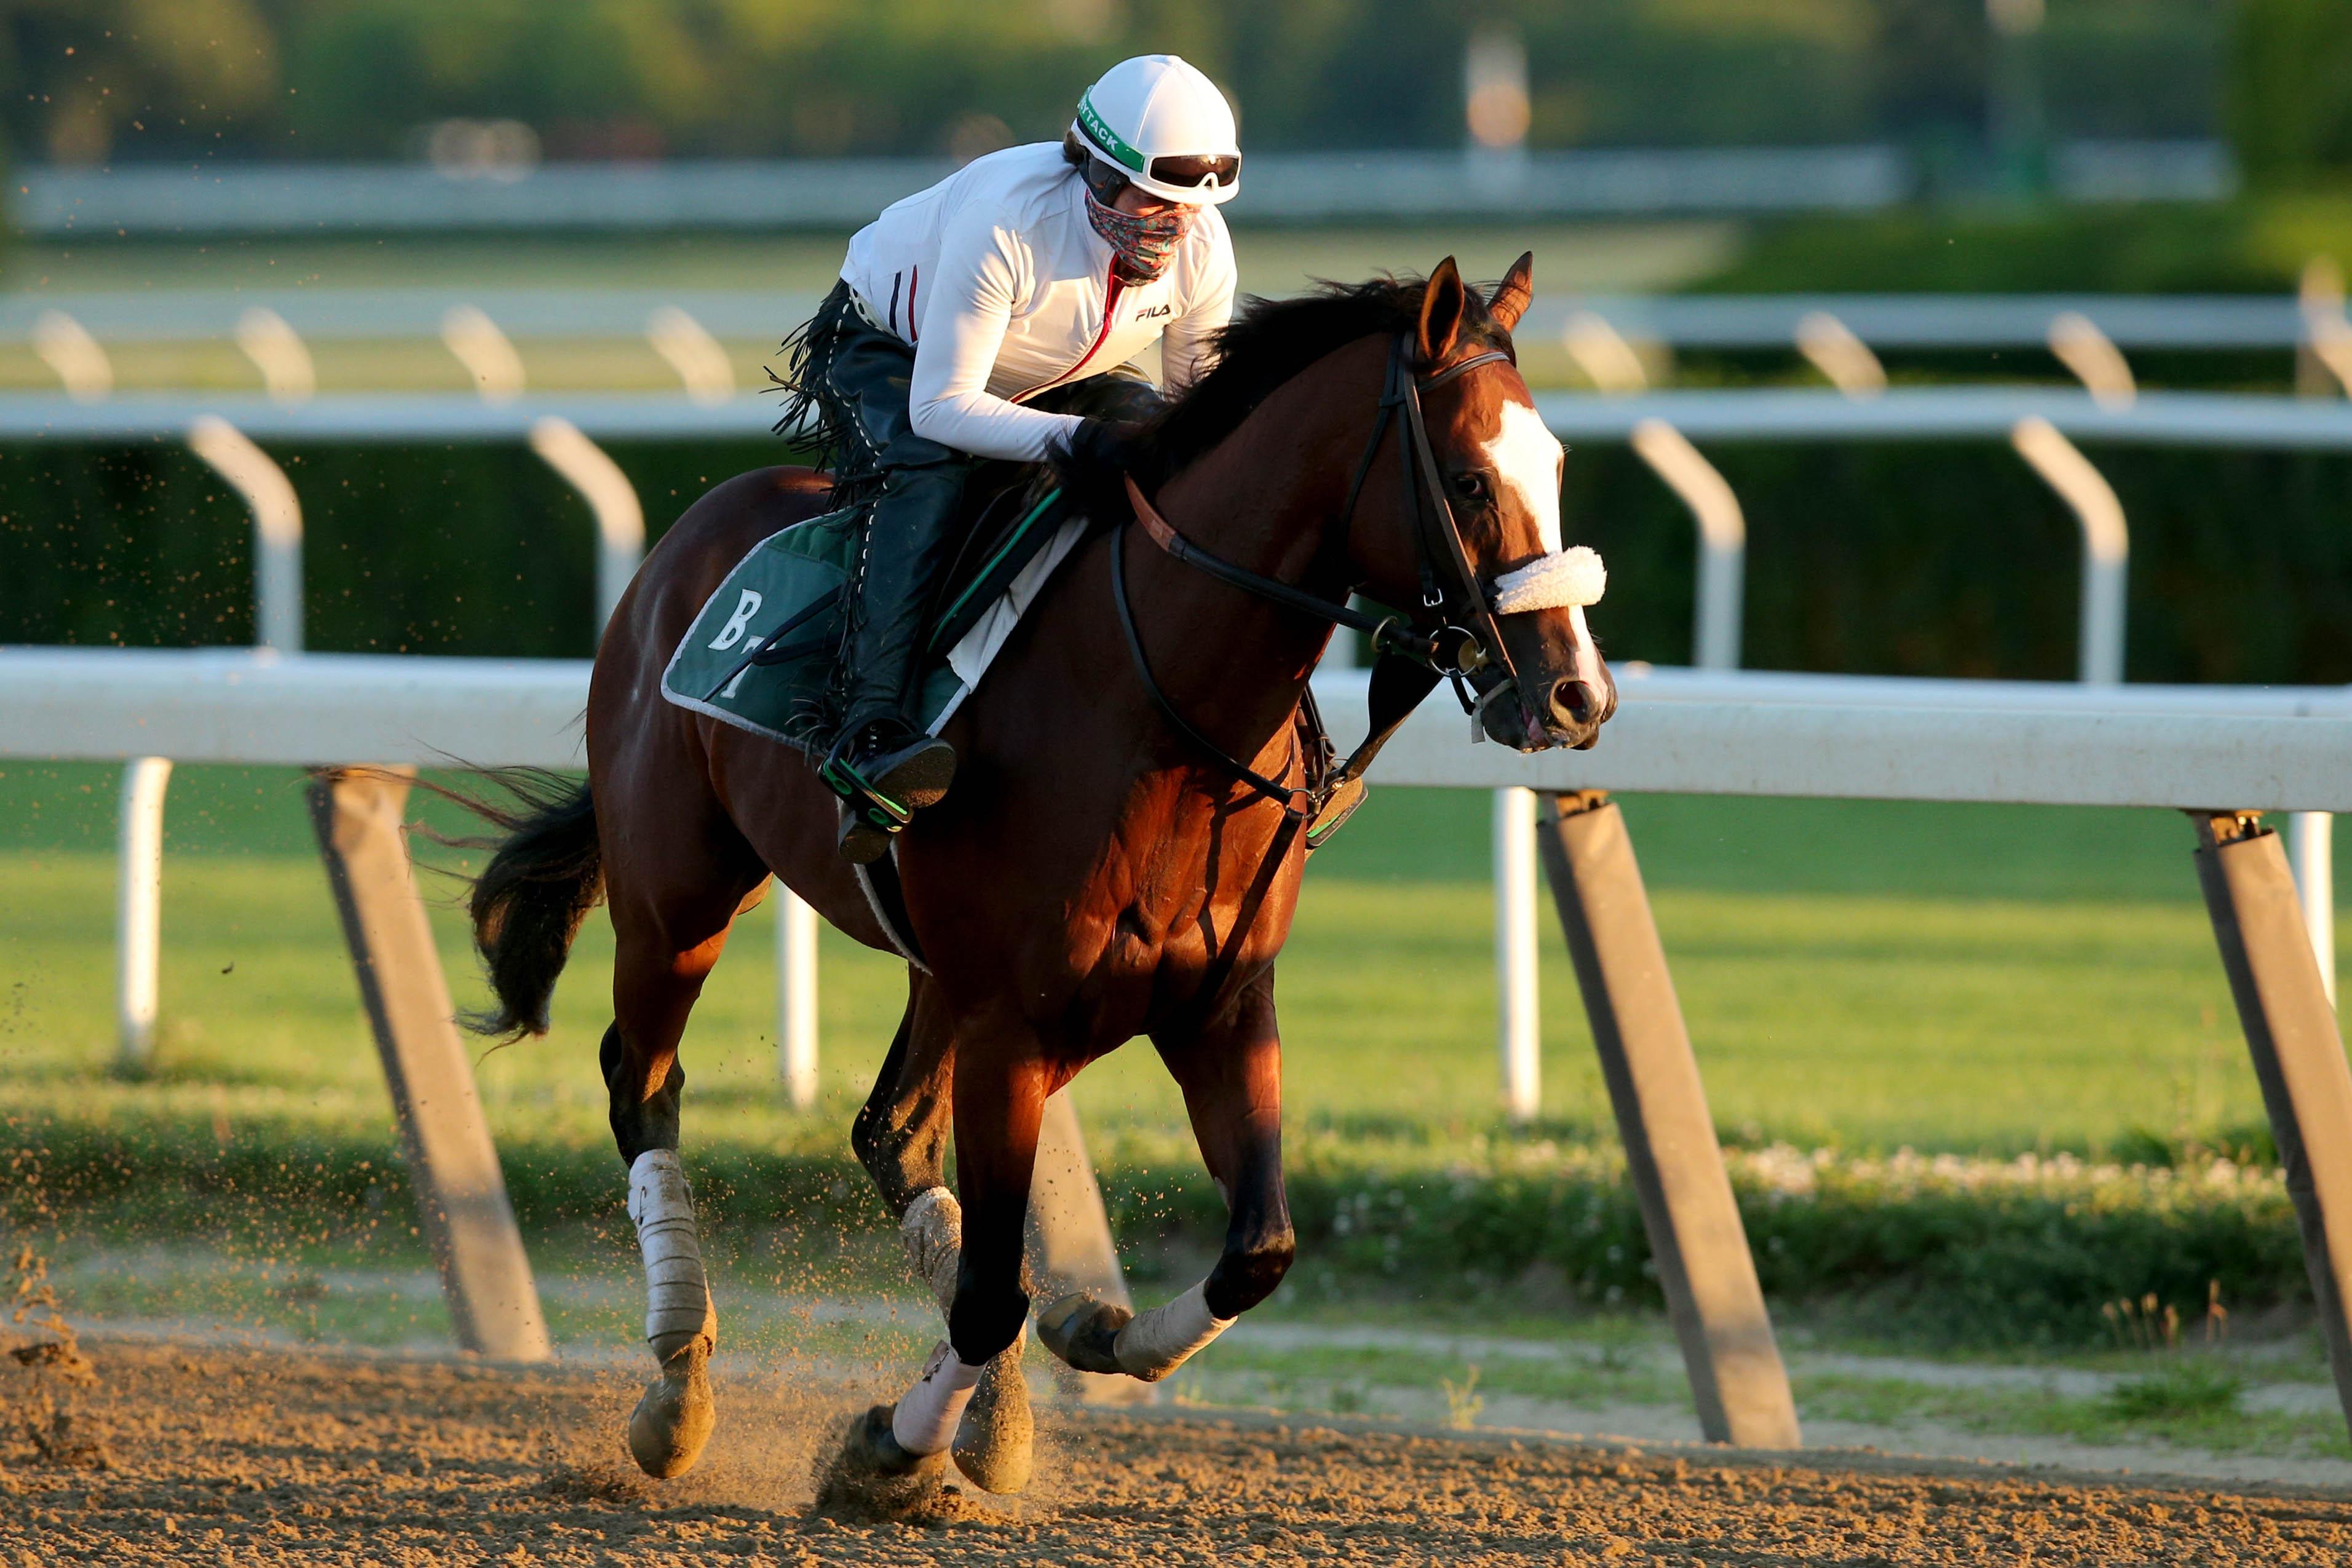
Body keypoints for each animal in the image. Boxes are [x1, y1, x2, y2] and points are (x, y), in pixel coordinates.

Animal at [463, 255, 1618, 1495]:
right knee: (643, 1083)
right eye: (1466, 479)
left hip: (930, 971)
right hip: (678, 894)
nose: (1576, 695)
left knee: (887, 1132)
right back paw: (679, 1384)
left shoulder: (1216, 1002)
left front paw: (1090, 1333)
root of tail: (681, 546)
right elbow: (985, 1296)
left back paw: (993, 1406)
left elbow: (1254, 1249)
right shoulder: (1014, 1025)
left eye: (1555, 466)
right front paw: (891, 1448)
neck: (1160, 714)